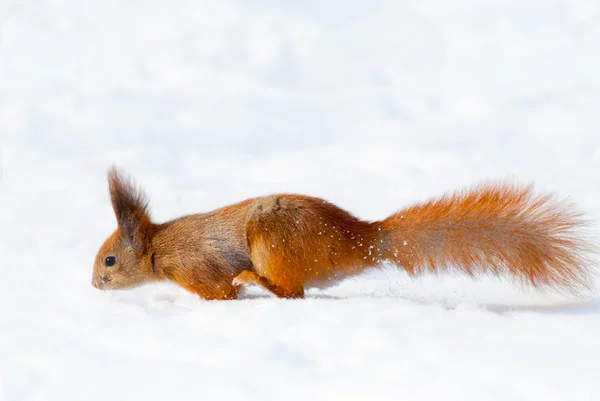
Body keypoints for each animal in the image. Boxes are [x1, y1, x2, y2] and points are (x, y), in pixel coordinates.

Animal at [91, 166, 596, 300]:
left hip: (273, 240)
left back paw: (256, 281)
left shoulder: (194, 265)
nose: (95, 285)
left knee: (291, 293)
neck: (158, 249)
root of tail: (358, 239)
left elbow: (220, 292)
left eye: (110, 260)